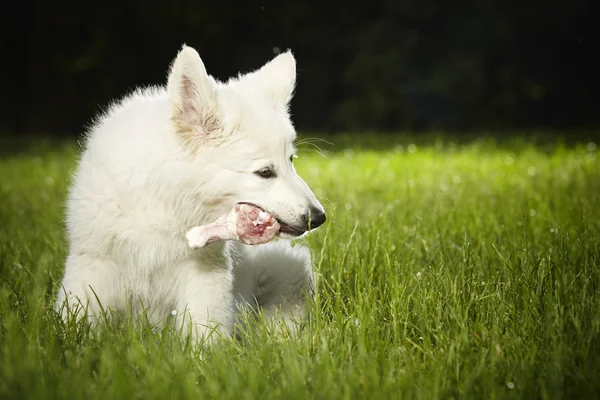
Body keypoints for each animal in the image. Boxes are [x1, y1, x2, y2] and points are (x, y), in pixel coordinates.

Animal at [55, 45, 326, 342]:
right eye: (265, 172)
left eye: (291, 160)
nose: (319, 217)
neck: (164, 199)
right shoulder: (92, 263)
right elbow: (74, 315)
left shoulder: (205, 273)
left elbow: (204, 328)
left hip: (285, 268)